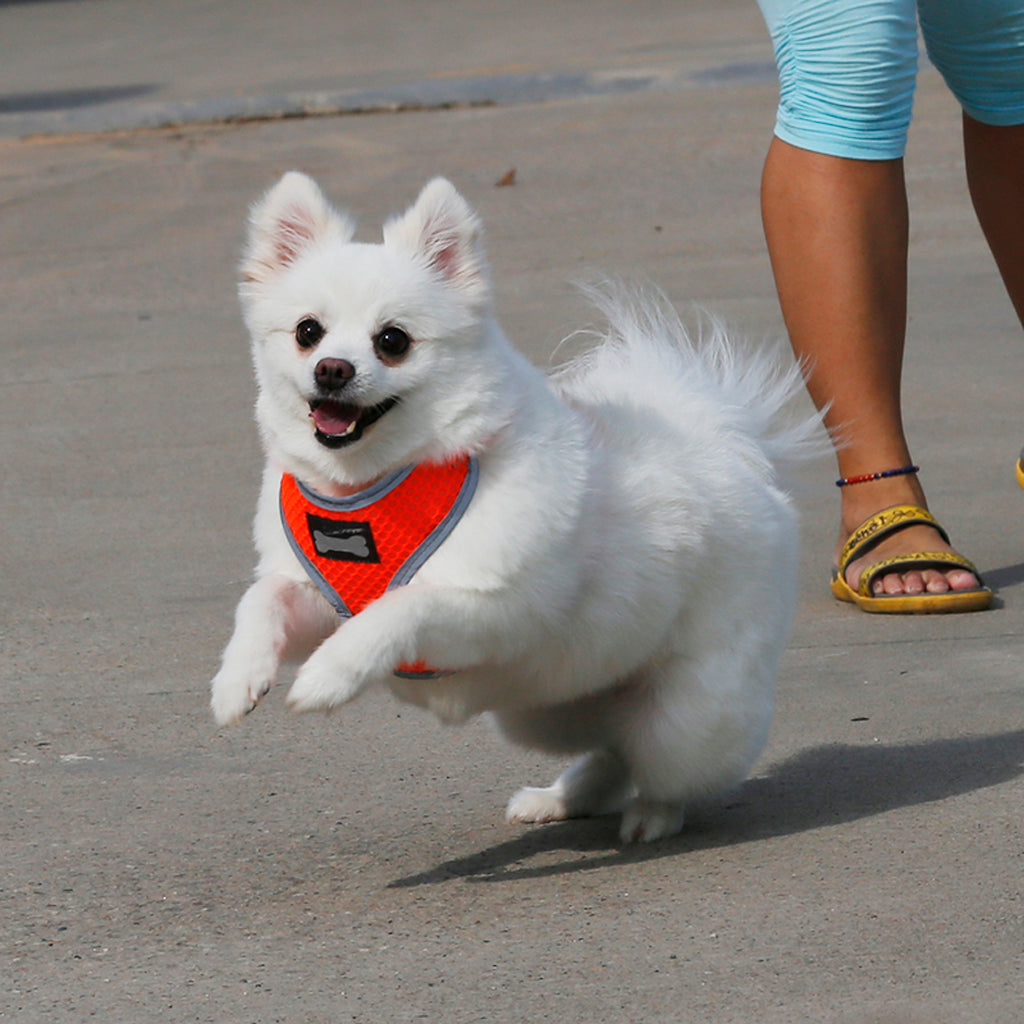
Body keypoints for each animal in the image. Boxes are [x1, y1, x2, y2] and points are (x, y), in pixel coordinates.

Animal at [209, 174, 823, 839]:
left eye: (392, 341)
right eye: (307, 332)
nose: (332, 369)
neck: (375, 483)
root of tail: (726, 445)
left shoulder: (499, 611)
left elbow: (402, 607)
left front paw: (327, 676)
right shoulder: (319, 596)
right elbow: (261, 599)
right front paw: (237, 678)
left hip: (686, 715)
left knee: (664, 764)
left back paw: (651, 817)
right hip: (552, 705)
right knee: (611, 747)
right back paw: (561, 798)